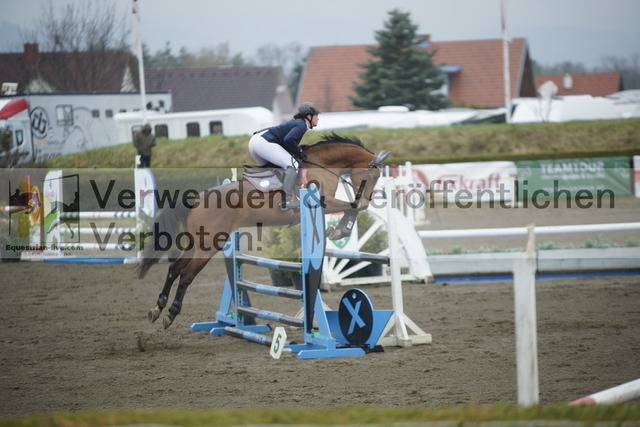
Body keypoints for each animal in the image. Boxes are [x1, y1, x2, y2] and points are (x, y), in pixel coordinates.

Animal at [138, 134, 390, 328]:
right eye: (375, 176)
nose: (367, 198)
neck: (322, 166)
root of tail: (196, 199)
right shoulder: (324, 203)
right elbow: (353, 206)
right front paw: (341, 230)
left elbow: (353, 207)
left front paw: (339, 230)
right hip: (209, 246)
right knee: (187, 275)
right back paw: (171, 313)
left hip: (196, 243)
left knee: (174, 269)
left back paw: (157, 308)